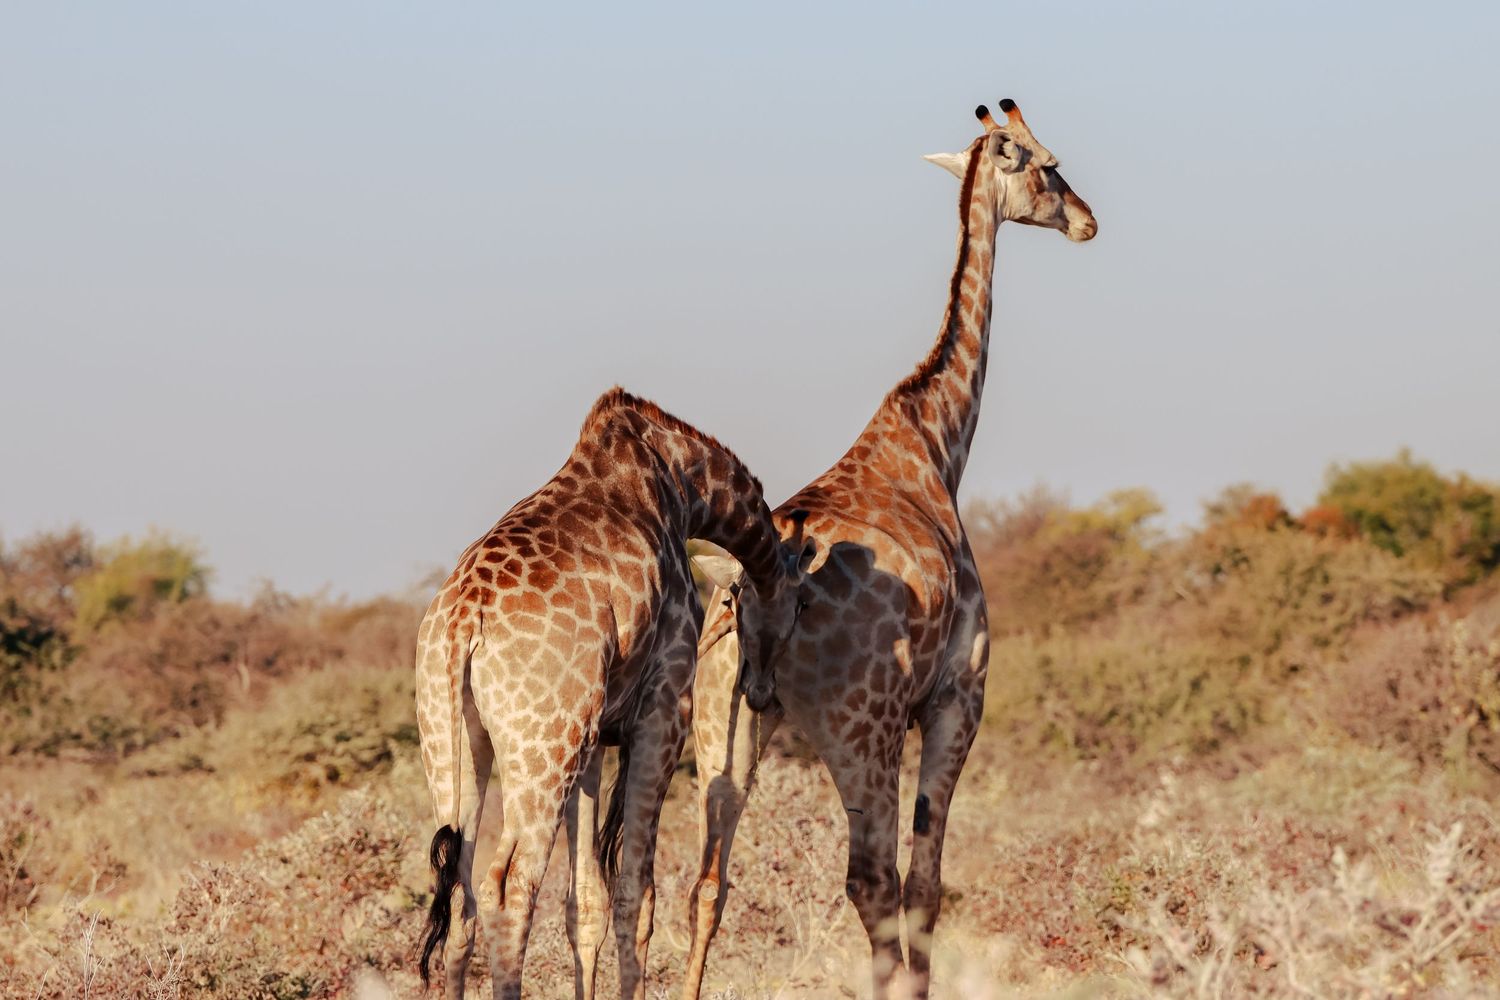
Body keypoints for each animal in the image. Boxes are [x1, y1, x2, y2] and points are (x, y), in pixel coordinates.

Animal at [413, 386, 810, 1000]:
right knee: (510, 887)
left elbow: (585, 903)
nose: (761, 690)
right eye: (800, 606)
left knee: (461, 890)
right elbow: (635, 894)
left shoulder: (595, 737)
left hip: (453, 735)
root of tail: (461, 623)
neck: (685, 487)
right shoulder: (664, 709)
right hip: (543, 749)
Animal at [681, 100, 1098, 999]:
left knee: (705, 881)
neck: (935, 444)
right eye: (1049, 166)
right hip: (858, 730)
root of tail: (754, 597)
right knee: (868, 880)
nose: (1088, 221)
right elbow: (925, 882)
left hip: (721, 721)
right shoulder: (956, 697)